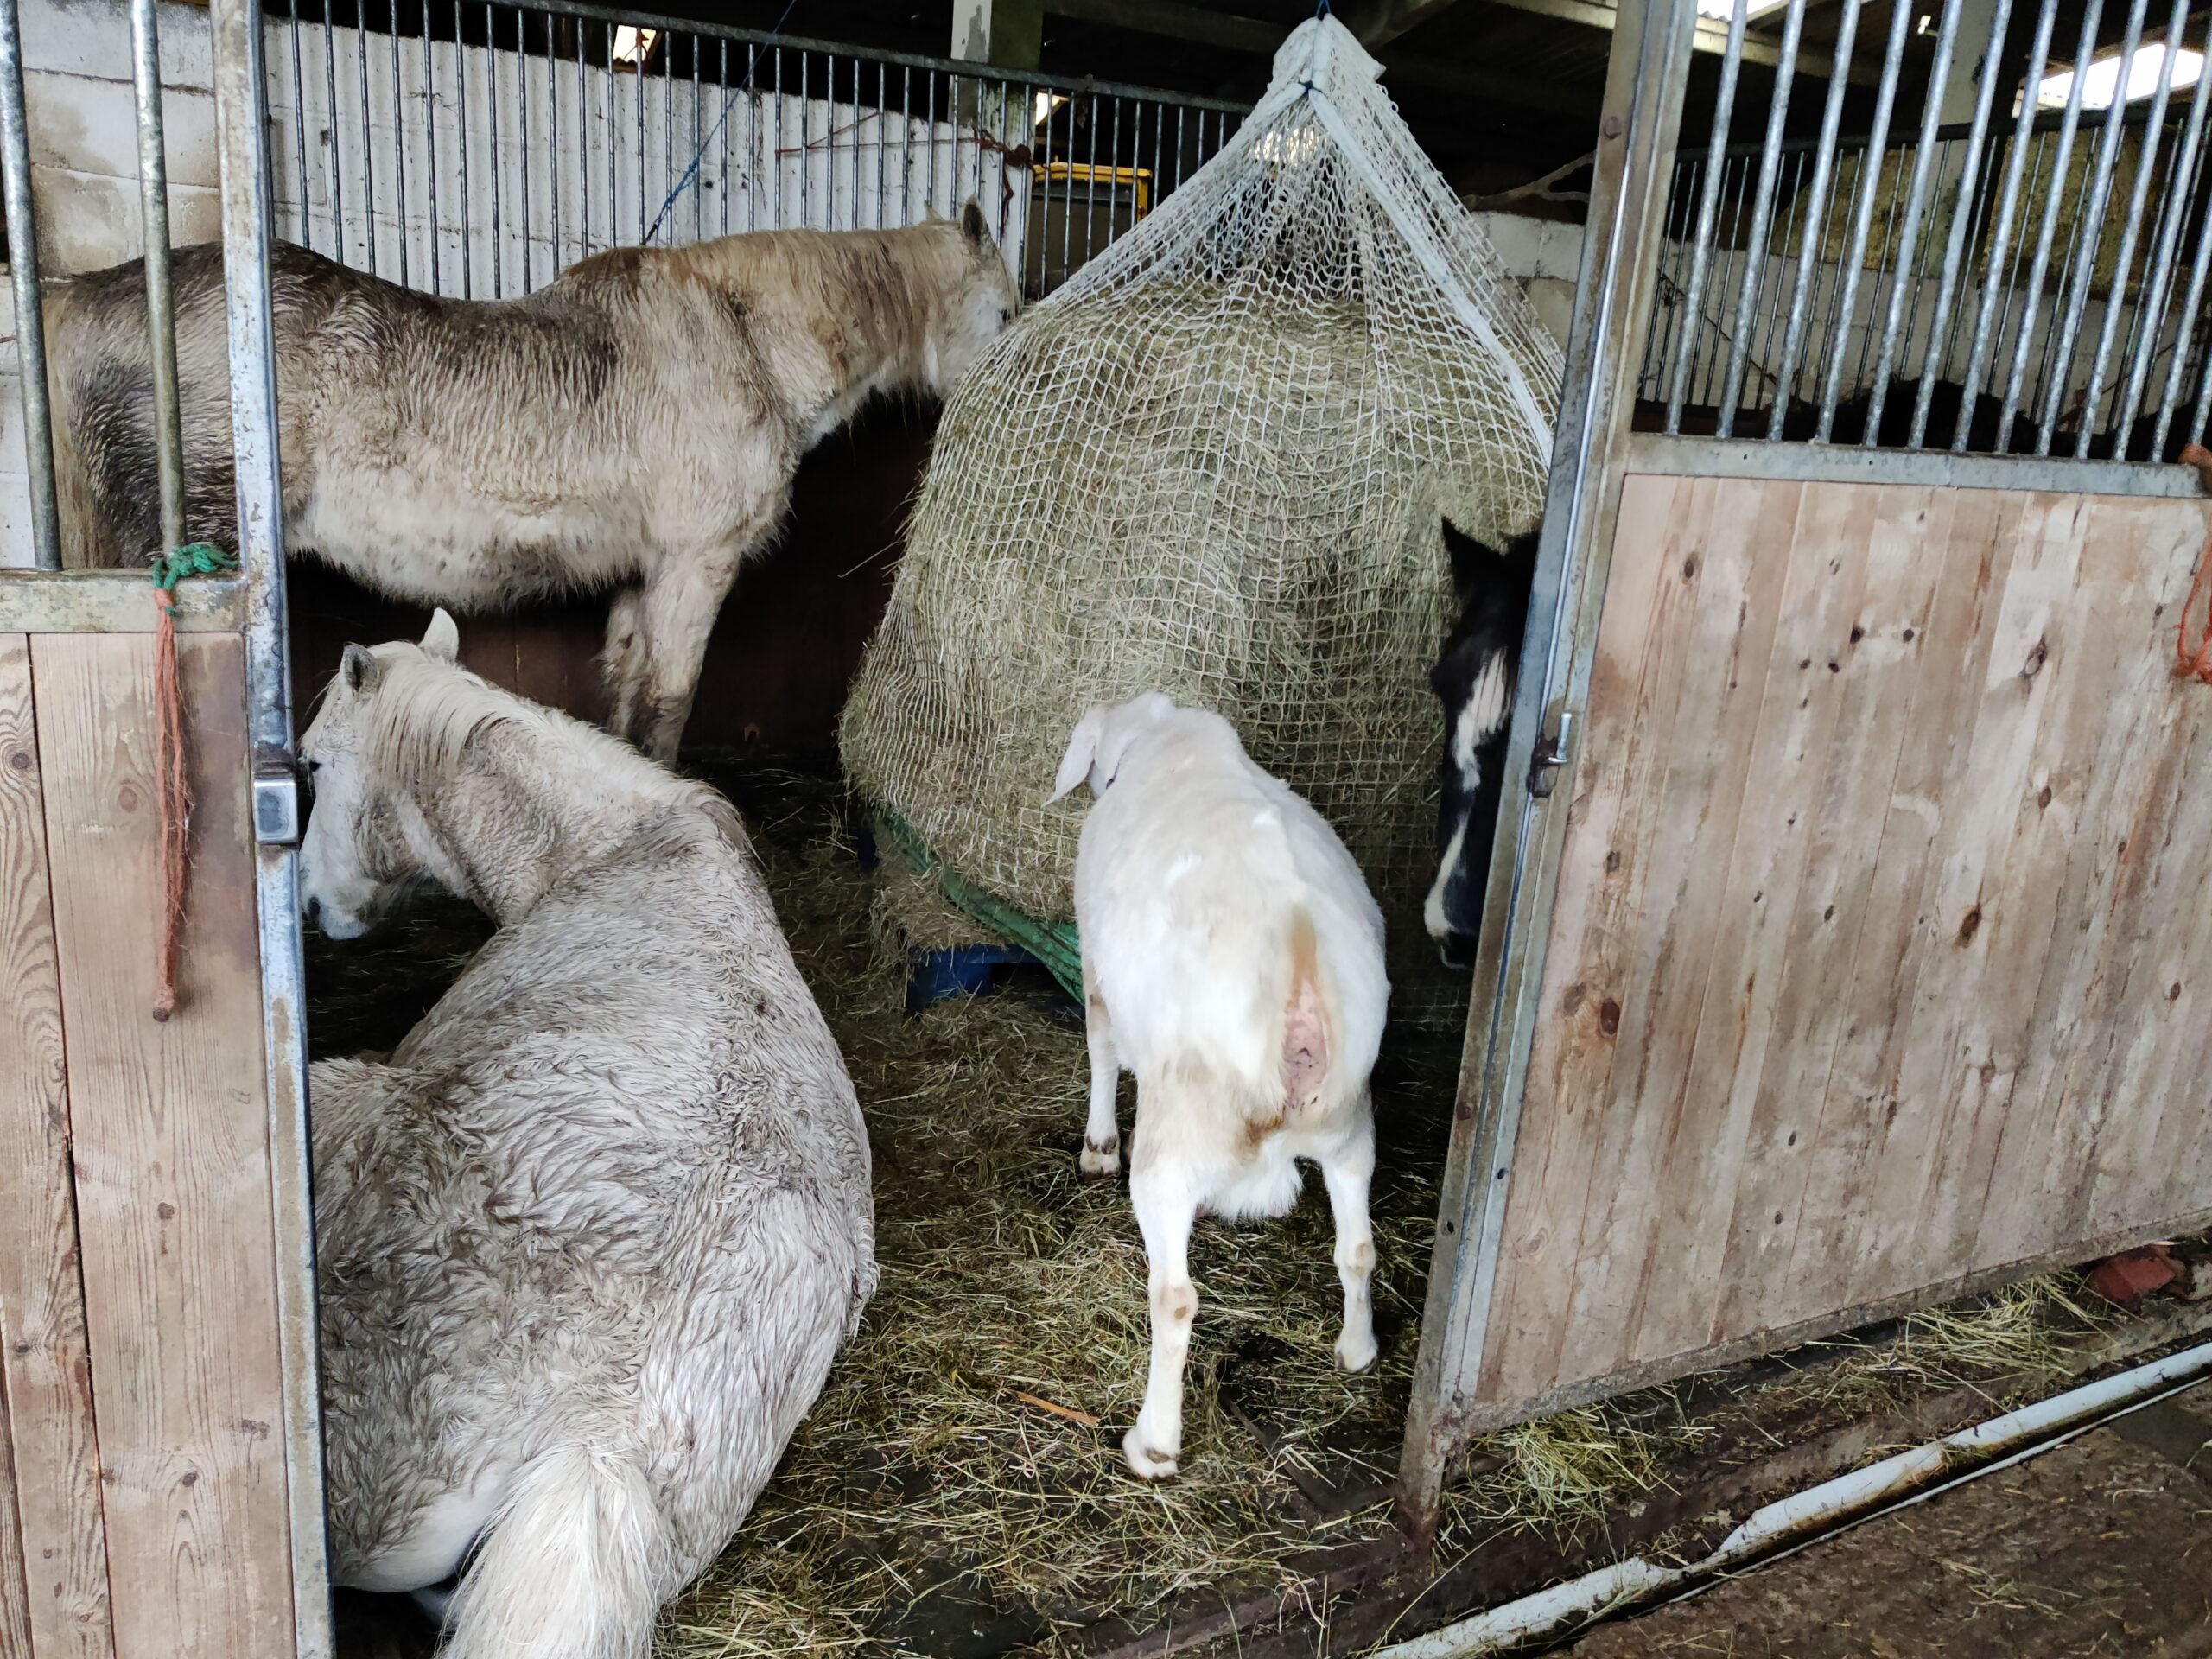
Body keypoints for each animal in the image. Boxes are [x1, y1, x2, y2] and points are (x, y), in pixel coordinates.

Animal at [1049, 693, 1389, 1480]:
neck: (1170, 741)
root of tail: (1299, 979)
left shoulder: (1096, 971)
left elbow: (1101, 1049)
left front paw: (1097, 1147)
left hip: (1175, 1139)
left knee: (1175, 1299)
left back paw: (1153, 1444)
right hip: (1349, 1124)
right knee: (1358, 1248)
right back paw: (1357, 1350)